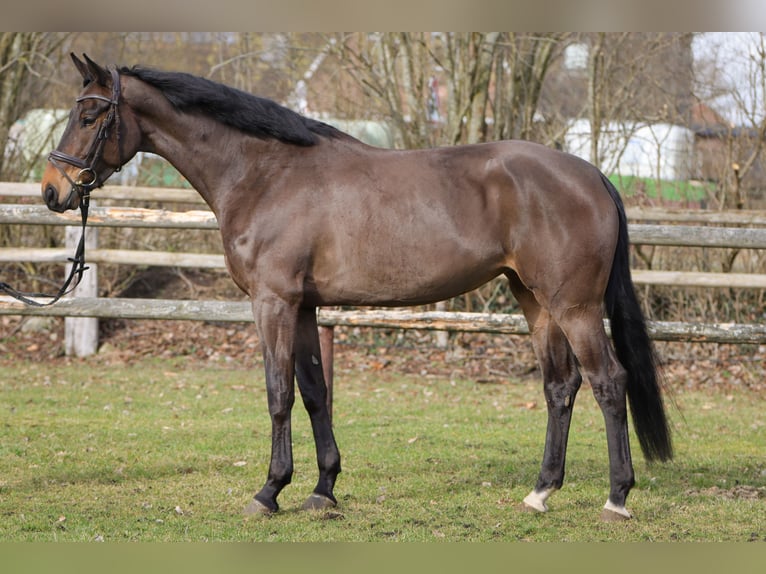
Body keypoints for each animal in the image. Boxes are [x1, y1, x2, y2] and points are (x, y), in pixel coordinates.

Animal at [42, 53, 672, 521]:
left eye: (92, 116)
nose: (53, 190)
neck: (265, 175)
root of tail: (591, 175)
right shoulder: (304, 307)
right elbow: (315, 393)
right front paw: (322, 490)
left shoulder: (273, 303)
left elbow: (278, 393)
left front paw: (268, 492)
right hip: (534, 300)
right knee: (561, 387)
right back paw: (541, 492)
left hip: (574, 305)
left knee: (608, 382)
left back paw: (617, 498)